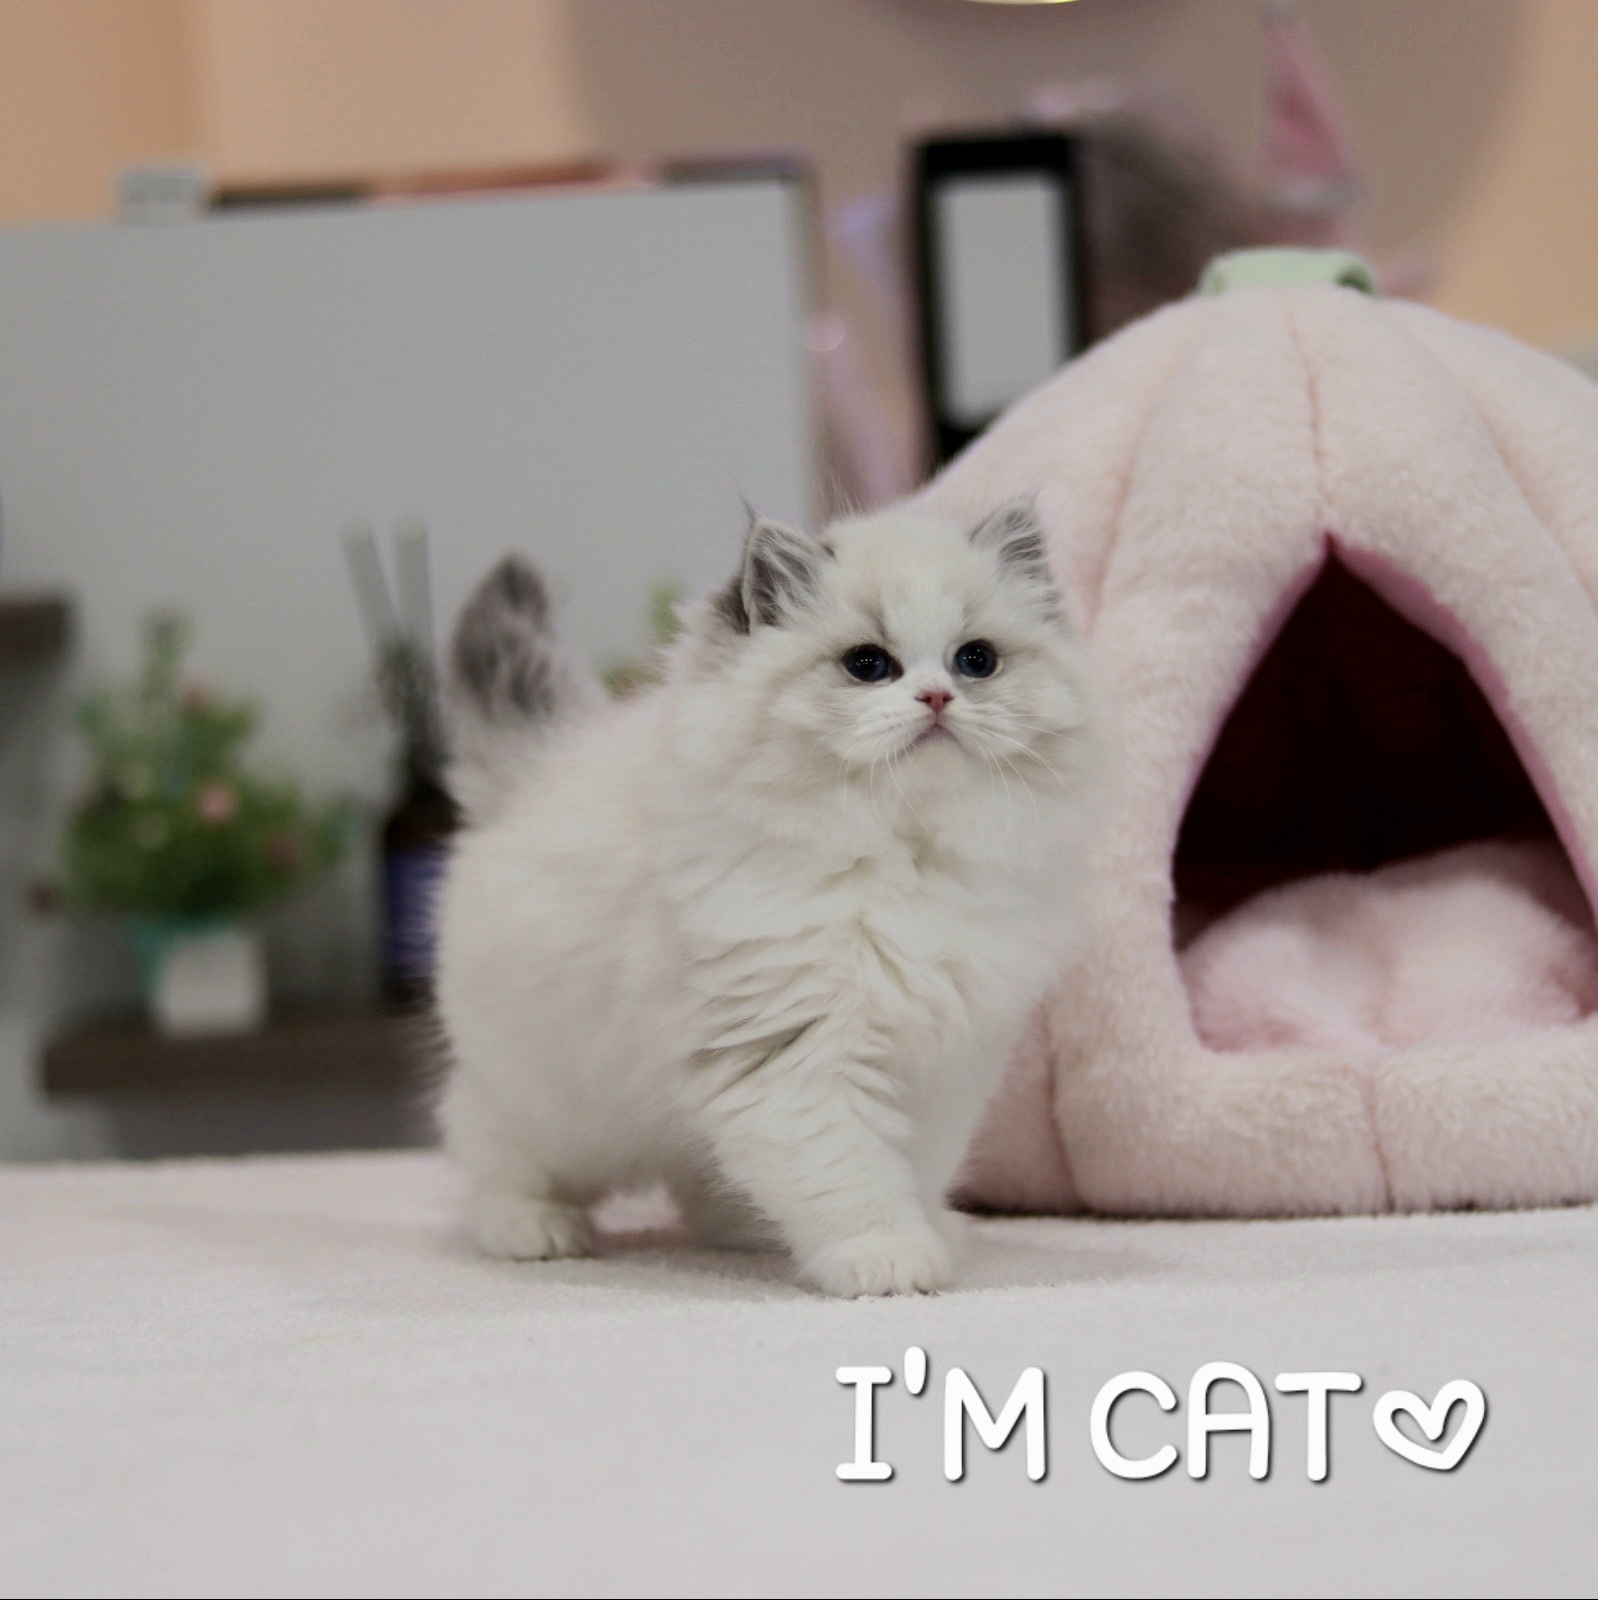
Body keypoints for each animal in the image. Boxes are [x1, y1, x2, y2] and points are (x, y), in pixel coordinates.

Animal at [433, 502, 1107, 1296]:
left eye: (976, 661)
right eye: (868, 665)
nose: (938, 698)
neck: (903, 863)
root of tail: (534, 771)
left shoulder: (942, 1063)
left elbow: (915, 1164)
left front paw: (931, 1233)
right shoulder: (793, 1056)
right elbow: (850, 1171)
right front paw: (886, 1259)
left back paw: (743, 1230)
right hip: (553, 1103)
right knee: (487, 1149)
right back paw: (536, 1230)